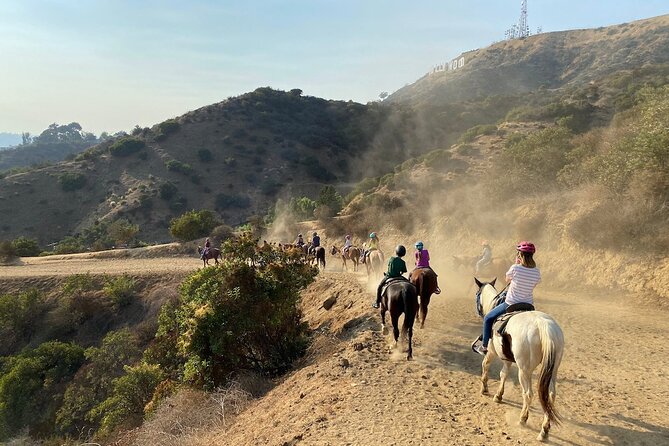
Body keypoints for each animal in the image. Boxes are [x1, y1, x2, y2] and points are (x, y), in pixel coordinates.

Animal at [470, 280, 564, 440]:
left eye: (477, 294)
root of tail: (543, 325)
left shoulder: (491, 352)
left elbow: (485, 365)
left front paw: (485, 389)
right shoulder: (507, 358)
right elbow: (503, 374)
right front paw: (498, 395)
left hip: (524, 370)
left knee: (528, 394)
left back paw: (523, 419)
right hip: (553, 370)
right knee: (550, 396)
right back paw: (544, 429)